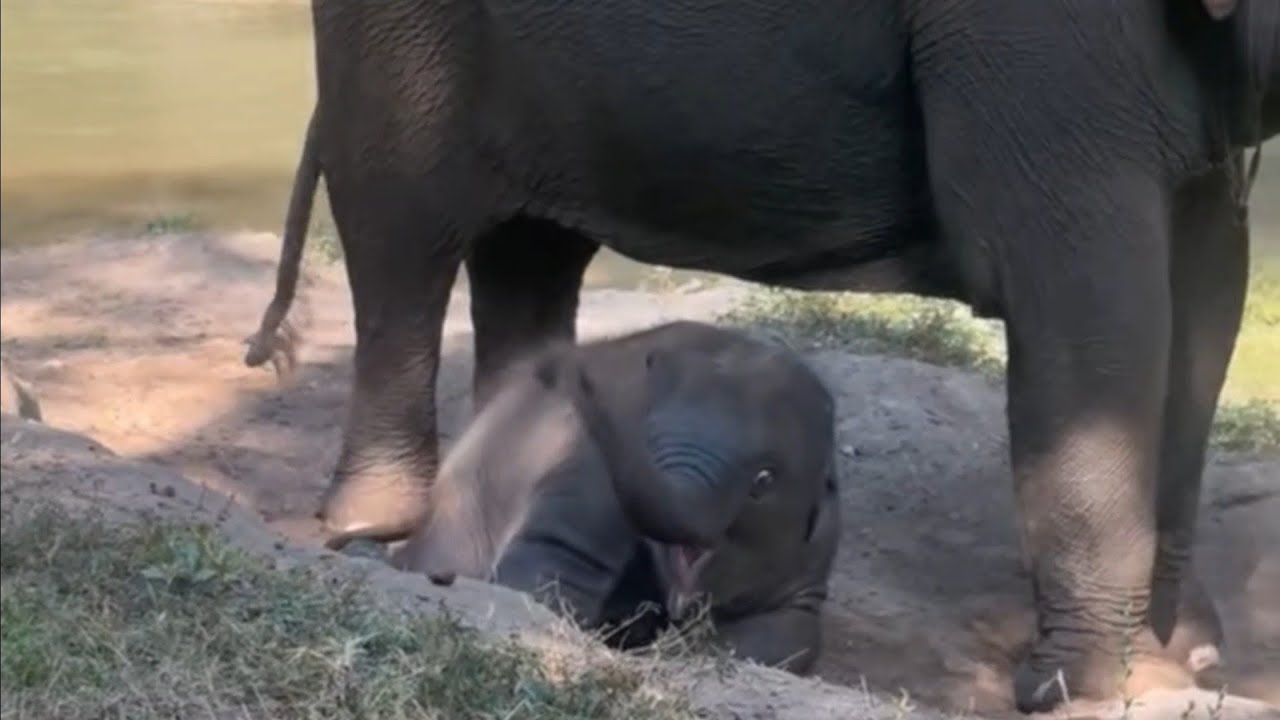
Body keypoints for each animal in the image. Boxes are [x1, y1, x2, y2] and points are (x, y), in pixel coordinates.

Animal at [389, 320, 840, 672]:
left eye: (764, 480)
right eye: (648, 438)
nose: (569, 369)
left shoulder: (814, 556)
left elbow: (791, 632)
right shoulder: (583, 468)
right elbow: (546, 573)